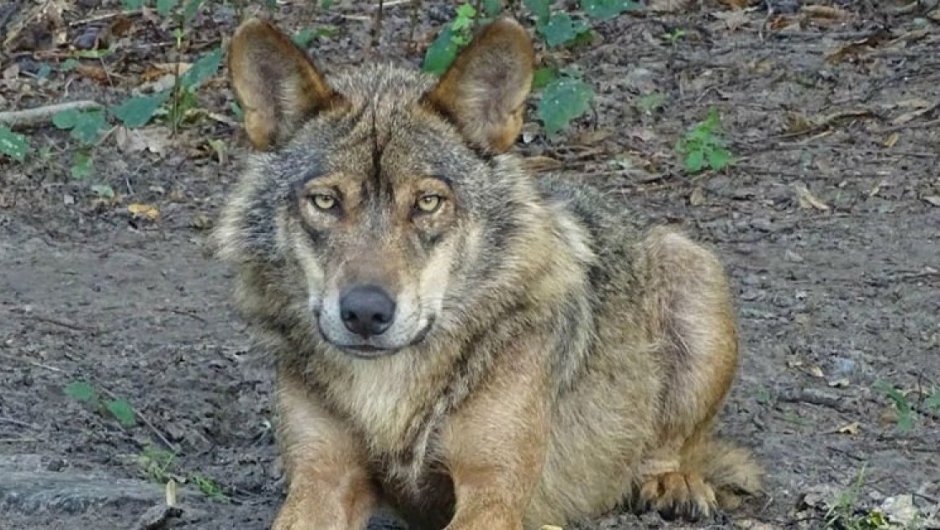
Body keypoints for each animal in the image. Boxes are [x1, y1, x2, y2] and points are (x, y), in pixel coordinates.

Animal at [217, 15, 760, 528]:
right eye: (326, 201)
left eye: (428, 202)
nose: (366, 312)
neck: (390, 393)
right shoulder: (322, 479)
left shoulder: (492, 488)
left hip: (694, 273)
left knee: (671, 445)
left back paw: (673, 483)